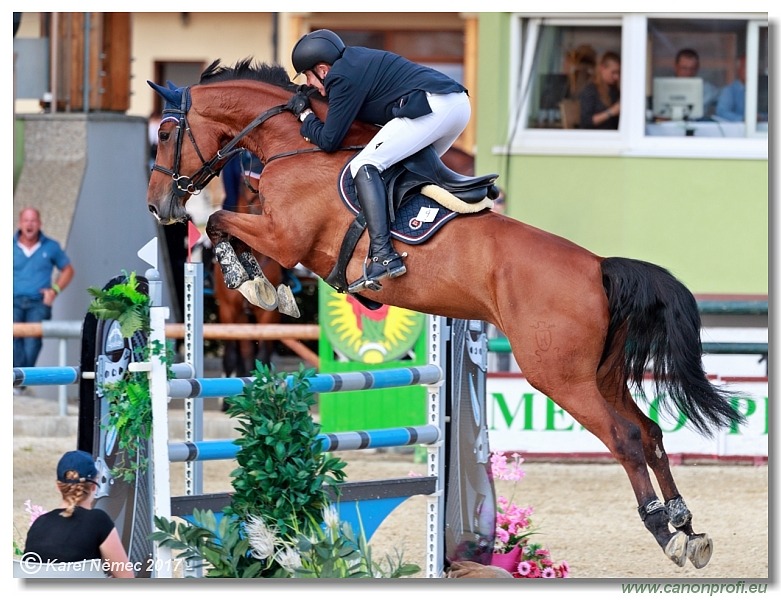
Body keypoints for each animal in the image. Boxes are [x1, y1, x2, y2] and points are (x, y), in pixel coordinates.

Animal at [148, 61, 744, 572]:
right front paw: (266, 286)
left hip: (560, 377)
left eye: (165, 133)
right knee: (650, 432)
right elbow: (242, 240)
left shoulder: (285, 235)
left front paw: (245, 274)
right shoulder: (285, 240)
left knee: (623, 438)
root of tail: (598, 267)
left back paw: (665, 533)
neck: (292, 148)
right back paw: (688, 528)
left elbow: (223, 220)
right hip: (603, 374)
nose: (160, 206)